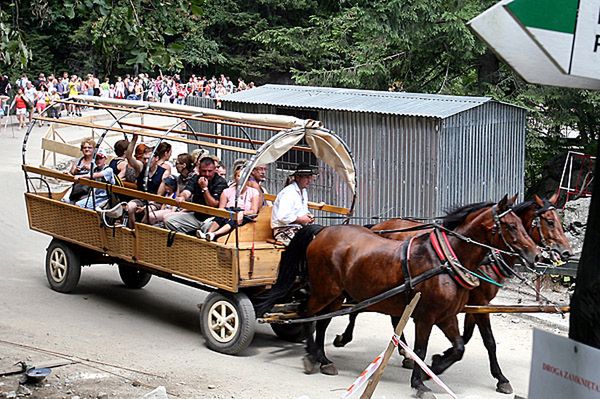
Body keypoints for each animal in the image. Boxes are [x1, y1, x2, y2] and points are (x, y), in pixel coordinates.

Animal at [284, 195, 540, 396]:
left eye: (522, 224)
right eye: (510, 226)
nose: (535, 254)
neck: (446, 260)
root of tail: (323, 231)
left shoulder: (447, 316)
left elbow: (459, 347)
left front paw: (434, 368)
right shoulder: (426, 316)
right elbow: (421, 350)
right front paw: (420, 382)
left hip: (337, 295)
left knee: (323, 322)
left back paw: (323, 359)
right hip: (324, 290)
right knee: (307, 314)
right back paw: (311, 355)